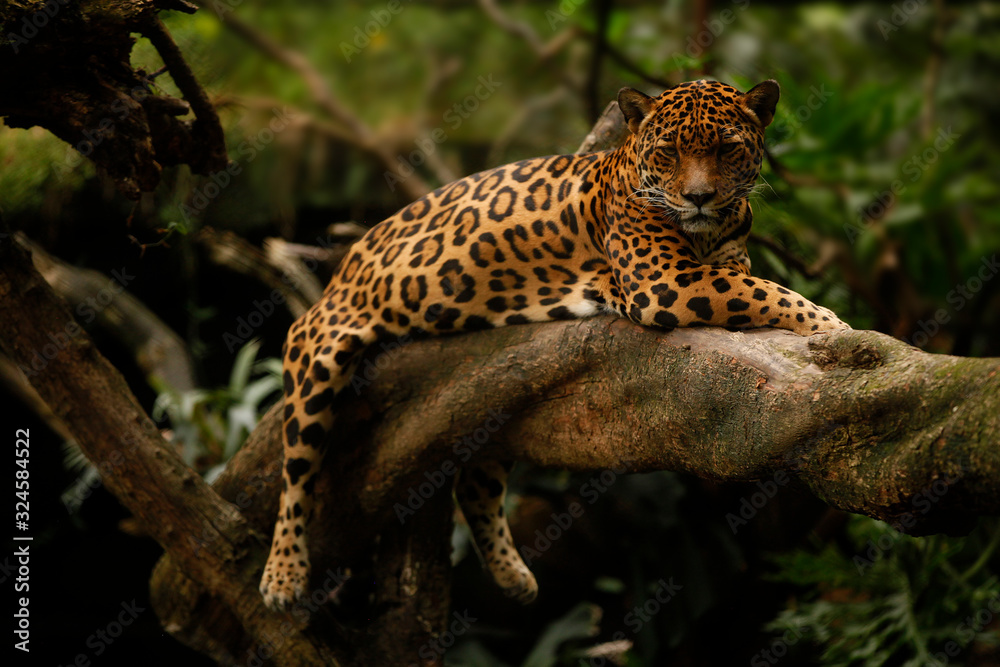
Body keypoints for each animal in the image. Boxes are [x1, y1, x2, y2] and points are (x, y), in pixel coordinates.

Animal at [258, 78, 850, 611]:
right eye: (669, 152)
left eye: (727, 148)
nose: (699, 198)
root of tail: (344, 264)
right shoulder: (666, 282)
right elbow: (763, 290)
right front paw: (831, 323)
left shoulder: (722, 261)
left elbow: (752, 284)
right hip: (318, 349)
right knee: (295, 473)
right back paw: (282, 576)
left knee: (476, 479)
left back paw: (512, 575)